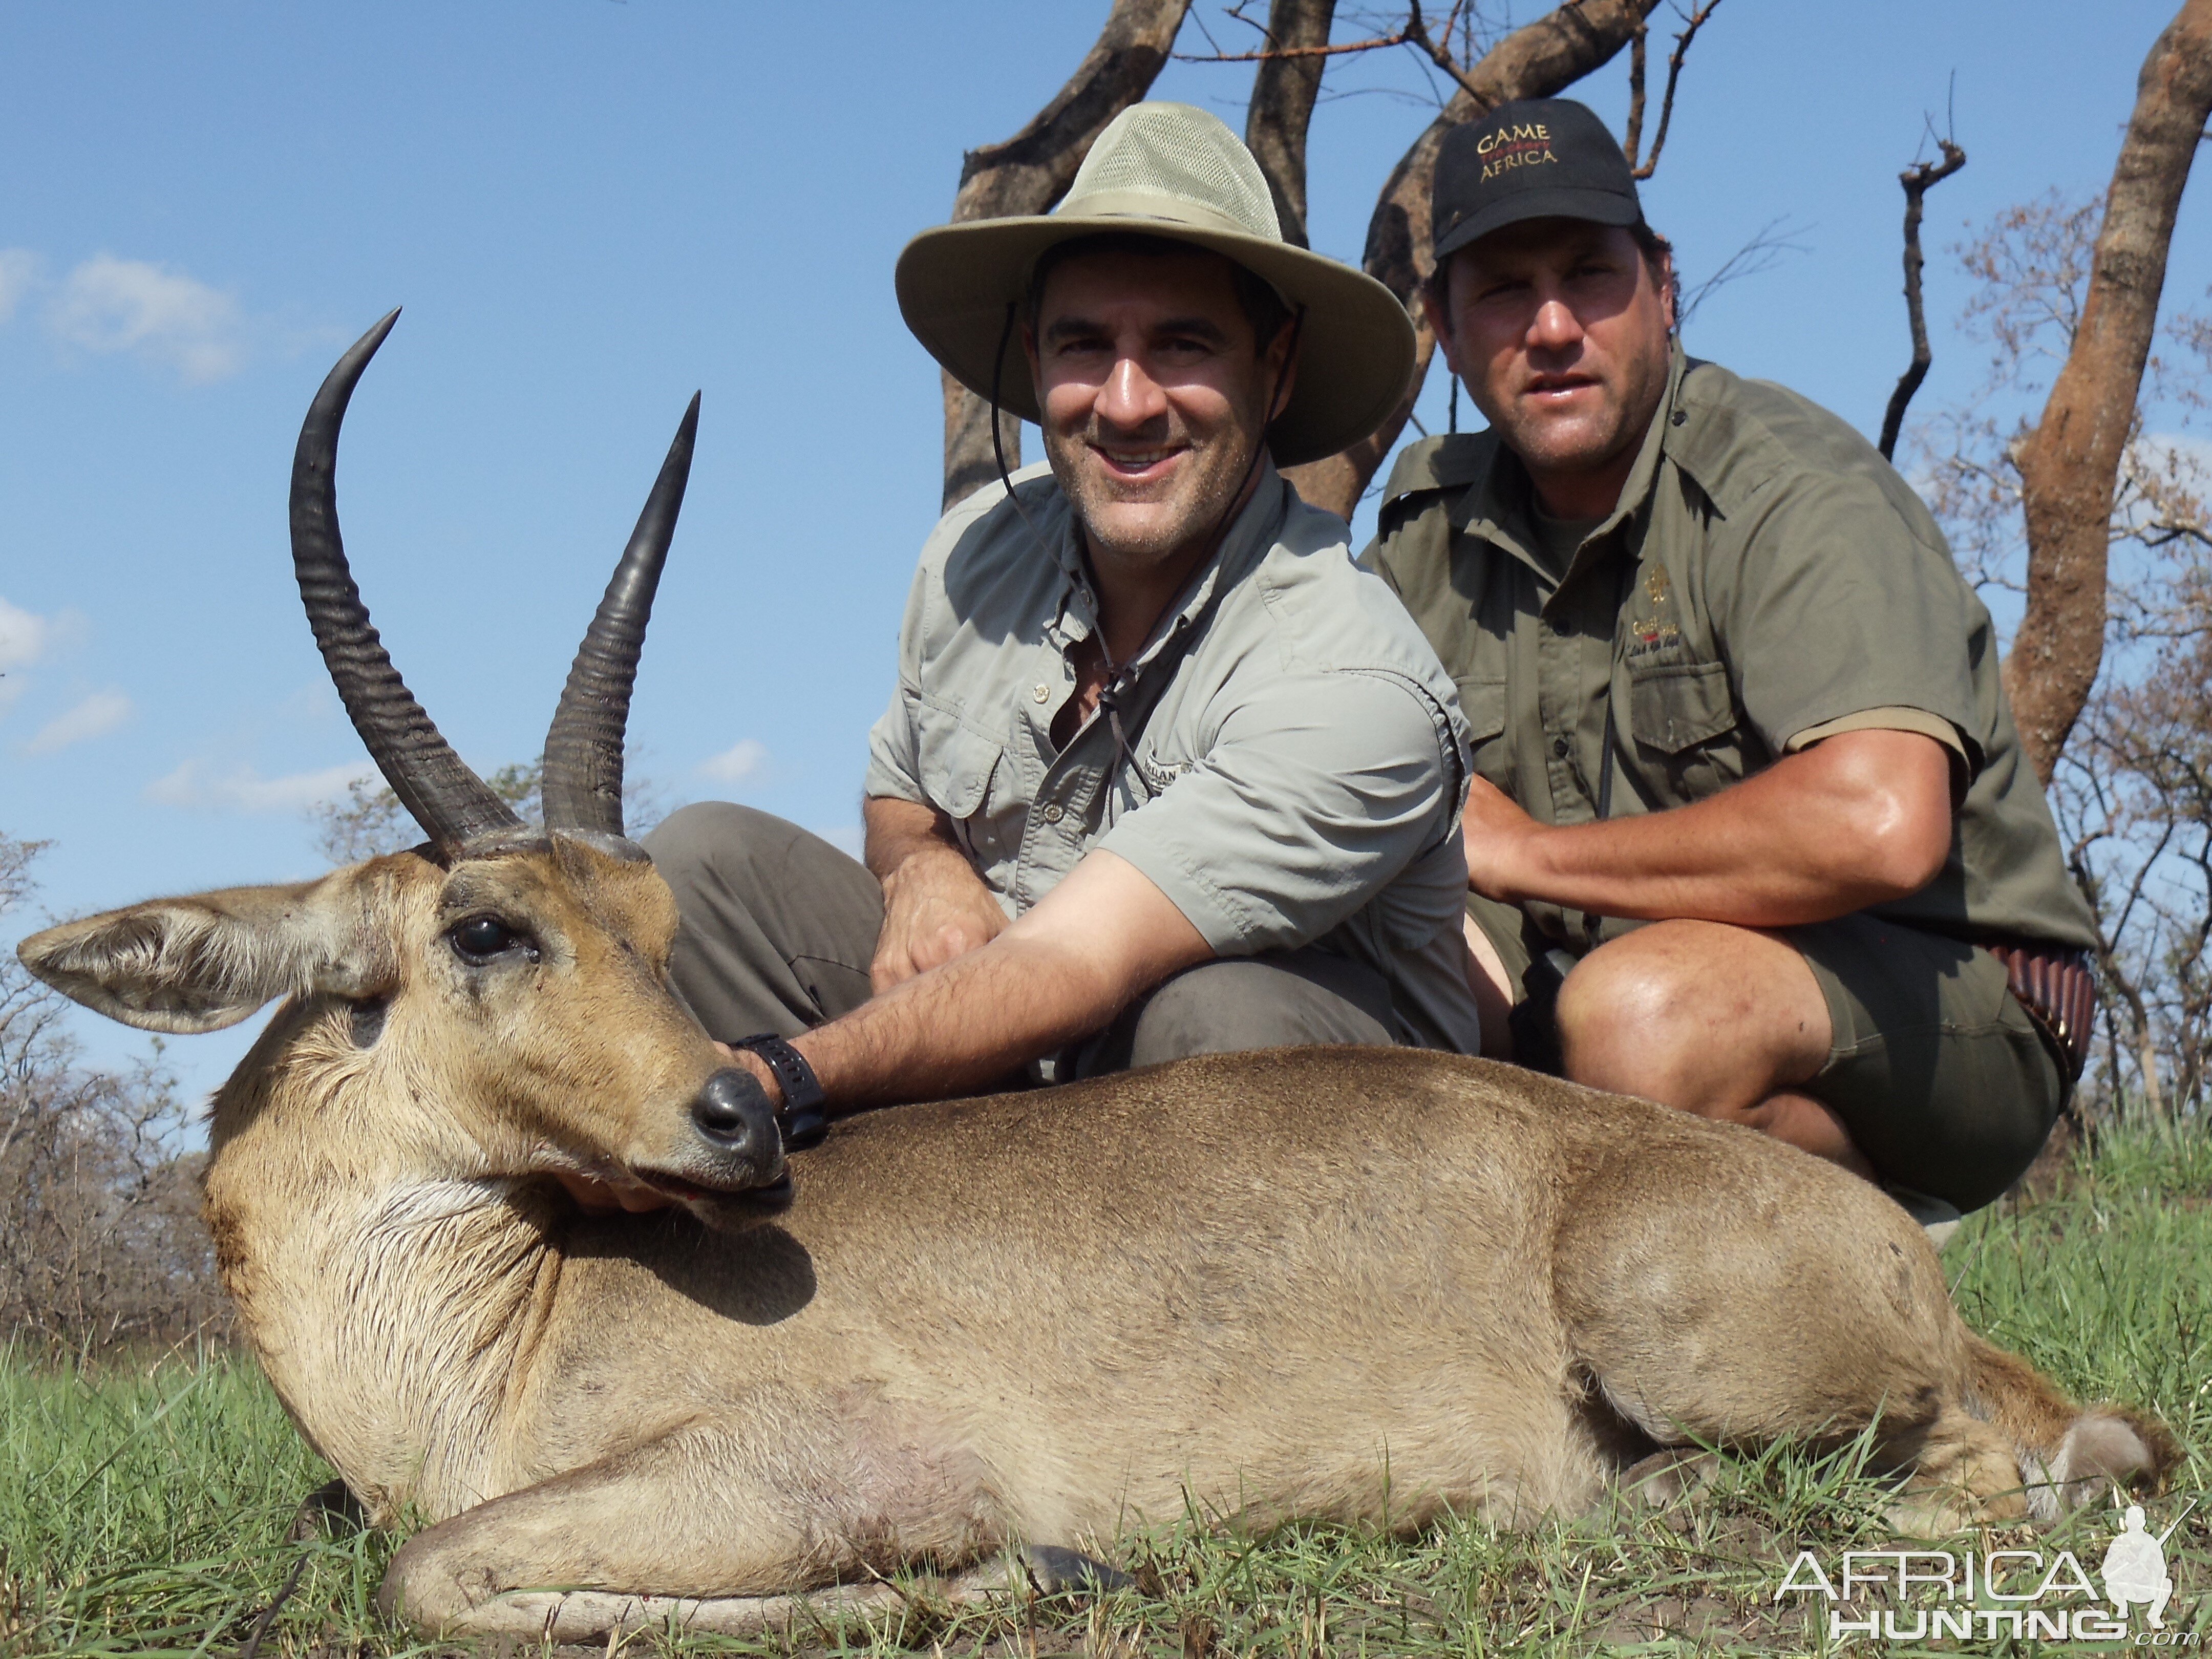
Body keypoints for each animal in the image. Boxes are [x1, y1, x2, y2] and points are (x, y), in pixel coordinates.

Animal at [26, 318, 2185, 1646]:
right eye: (494, 925)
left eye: (640, 920)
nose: (730, 1118)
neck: (501, 1322)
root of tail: (1904, 1262)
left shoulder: (795, 1471)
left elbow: (435, 1580)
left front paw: (1034, 1569)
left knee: (1982, 1489)